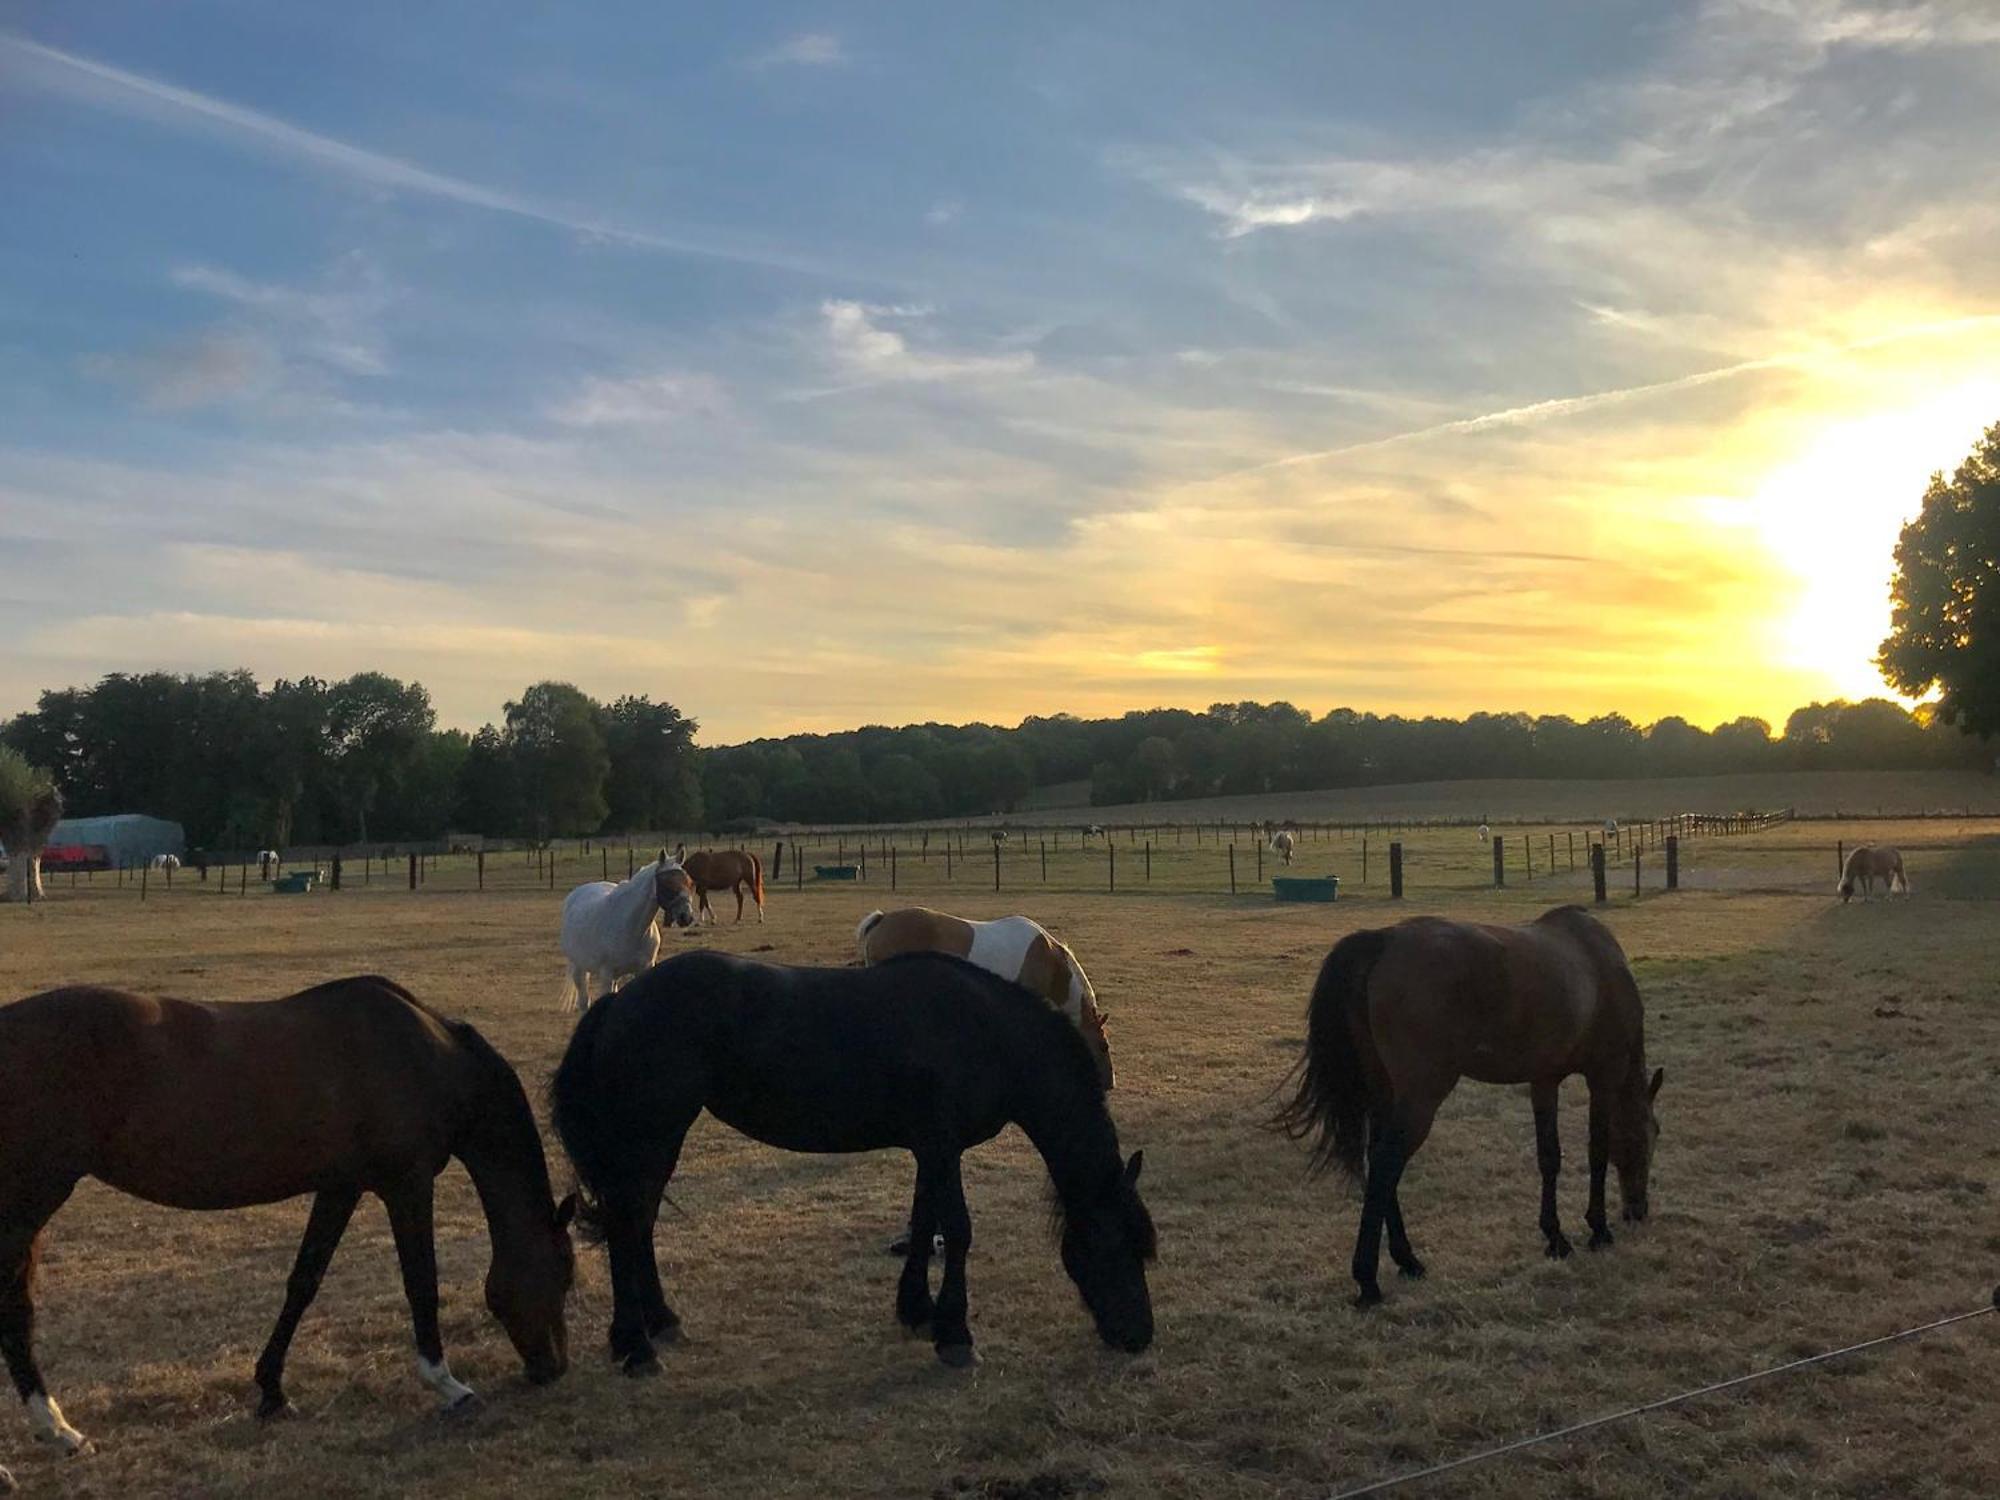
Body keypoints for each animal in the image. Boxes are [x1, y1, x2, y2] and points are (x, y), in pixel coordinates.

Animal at [0, 976, 580, 1456]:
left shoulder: (340, 1187)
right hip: (29, 1201)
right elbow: (422, 1284)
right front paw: (448, 1385)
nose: (553, 1369)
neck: (430, 1056)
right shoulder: (407, 1186)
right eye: (564, 1275)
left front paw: (271, 1390)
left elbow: (304, 1281)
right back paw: (56, 1430)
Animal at [552, 956, 1160, 1384]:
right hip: (653, 1133)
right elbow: (959, 1231)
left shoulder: (932, 1150)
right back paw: (635, 1346)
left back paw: (661, 1322)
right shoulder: (941, 1145)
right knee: (628, 1225)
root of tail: (620, 1002)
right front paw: (955, 1335)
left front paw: (917, 1310)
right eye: (1115, 1247)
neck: (984, 1034)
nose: (1139, 1337)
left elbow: (924, 1221)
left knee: (640, 1223)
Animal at [560, 852, 700, 1016]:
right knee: (584, 1002)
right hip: (579, 968)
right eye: (666, 884)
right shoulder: (606, 974)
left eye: (690, 883)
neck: (631, 928)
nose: (686, 916)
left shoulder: (644, 969)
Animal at [1272, 912, 1664, 1312]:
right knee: (1385, 1166)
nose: (1638, 1210)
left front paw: (1555, 1237)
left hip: (1385, 1092)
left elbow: (1549, 1157)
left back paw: (1407, 1260)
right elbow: (1598, 1153)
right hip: (1421, 1098)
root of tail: (1383, 940)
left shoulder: (1543, 1080)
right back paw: (1369, 1280)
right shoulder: (1604, 1076)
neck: (1598, 962)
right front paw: (1598, 1229)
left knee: (1377, 1160)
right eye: (1651, 1136)